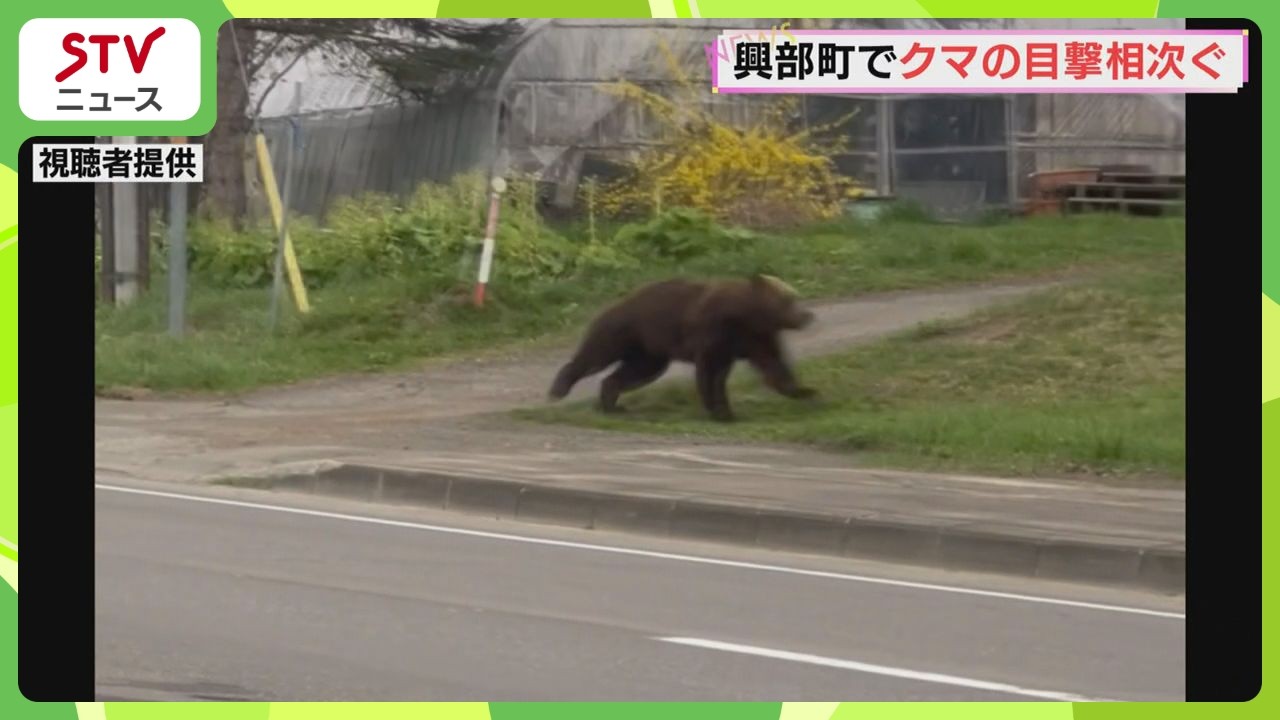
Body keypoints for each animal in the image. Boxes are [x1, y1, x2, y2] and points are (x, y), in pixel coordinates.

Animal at [547, 273, 817, 422]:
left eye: (795, 296)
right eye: (789, 299)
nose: (807, 315)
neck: (747, 316)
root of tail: (614, 303)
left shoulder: (755, 338)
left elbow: (773, 364)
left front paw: (805, 391)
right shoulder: (715, 331)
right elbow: (709, 372)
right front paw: (720, 412)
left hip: (649, 352)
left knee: (634, 372)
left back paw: (612, 405)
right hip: (623, 330)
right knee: (596, 355)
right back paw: (559, 389)